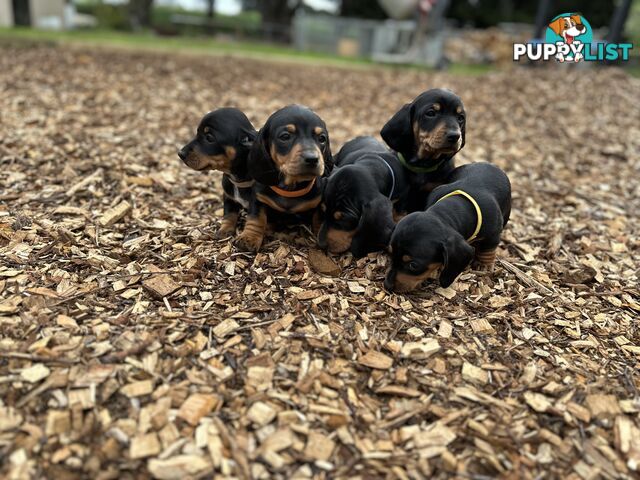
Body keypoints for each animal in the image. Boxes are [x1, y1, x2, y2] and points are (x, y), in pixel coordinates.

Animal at [178, 108, 258, 237]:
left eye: (210, 137)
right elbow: (229, 214)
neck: (237, 179)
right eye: (197, 132)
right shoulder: (228, 197)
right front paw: (224, 230)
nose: (180, 153)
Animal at [236, 105, 336, 253]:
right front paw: (249, 237)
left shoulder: (319, 201)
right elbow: (256, 218)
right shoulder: (258, 198)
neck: (290, 188)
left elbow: (318, 217)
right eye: (285, 136)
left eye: (322, 138)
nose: (312, 159)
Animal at [382, 163, 512, 292]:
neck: (457, 208)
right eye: (390, 253)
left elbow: (487, 250)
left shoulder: (492, 234)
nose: (387, 286)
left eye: (413, 265)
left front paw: (483, 264)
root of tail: (489, 164)